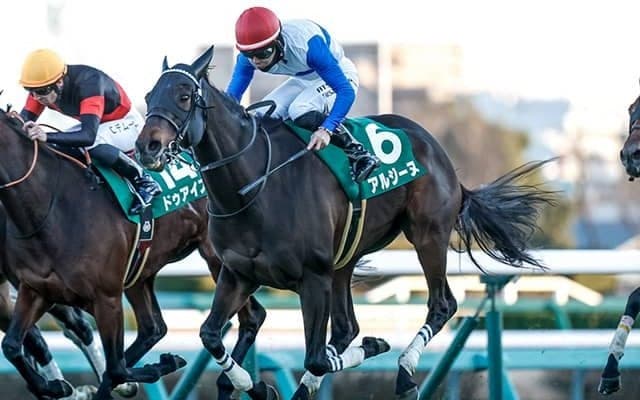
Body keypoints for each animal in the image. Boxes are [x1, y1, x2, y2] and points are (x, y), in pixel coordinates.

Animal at [0, 110, 266, 400]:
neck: (50, 207)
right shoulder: (35, 290)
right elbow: (12, 346)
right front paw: (57, 385)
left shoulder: (106, 297)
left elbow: (116, 368)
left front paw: (163, 364)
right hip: (140, 271)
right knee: (153, 329)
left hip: (219, 261)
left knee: (251, 316)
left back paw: (240, 383)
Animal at [136, 46, 556, 400]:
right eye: (148, 97)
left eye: (184, 96)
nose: (146, 147)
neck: (253, 188)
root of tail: (437, 150)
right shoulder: (238, 274)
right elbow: (210, 335)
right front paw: (255, 386)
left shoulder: (312, 276)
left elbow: (317, 357)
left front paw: (373, 346)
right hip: (346, 257)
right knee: (345, 328)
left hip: (427, 235)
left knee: (441, 304)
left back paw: (404, 373)